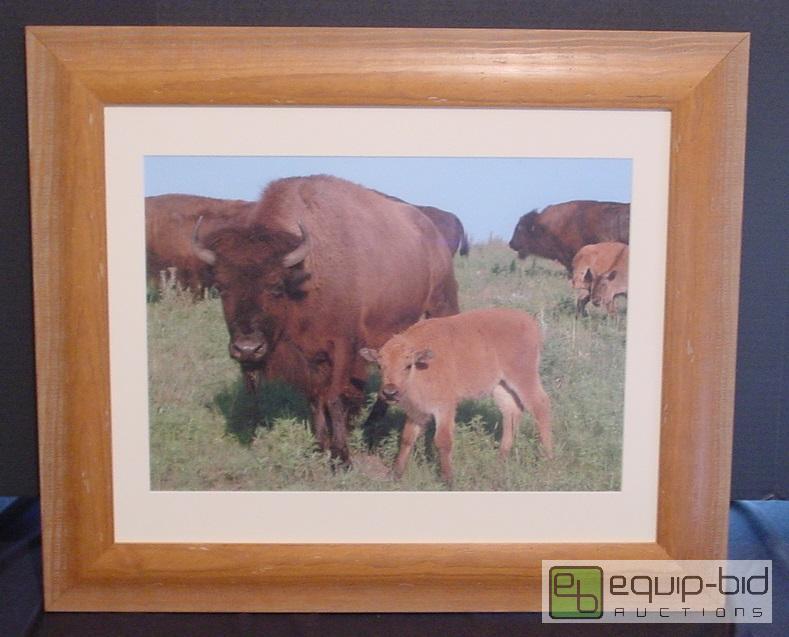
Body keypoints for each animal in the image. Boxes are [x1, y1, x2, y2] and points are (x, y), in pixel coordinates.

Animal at [192, 175, 460, 464]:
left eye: (275, 286)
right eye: (221, 287)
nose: (247, 349)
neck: (305, 275)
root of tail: (431, 230)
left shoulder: (343, 347)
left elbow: (333, 398)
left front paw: (341, 457)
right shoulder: (310, 356)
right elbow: (315, 398)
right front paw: (320, 446)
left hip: (440, 306)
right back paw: (369, 427)